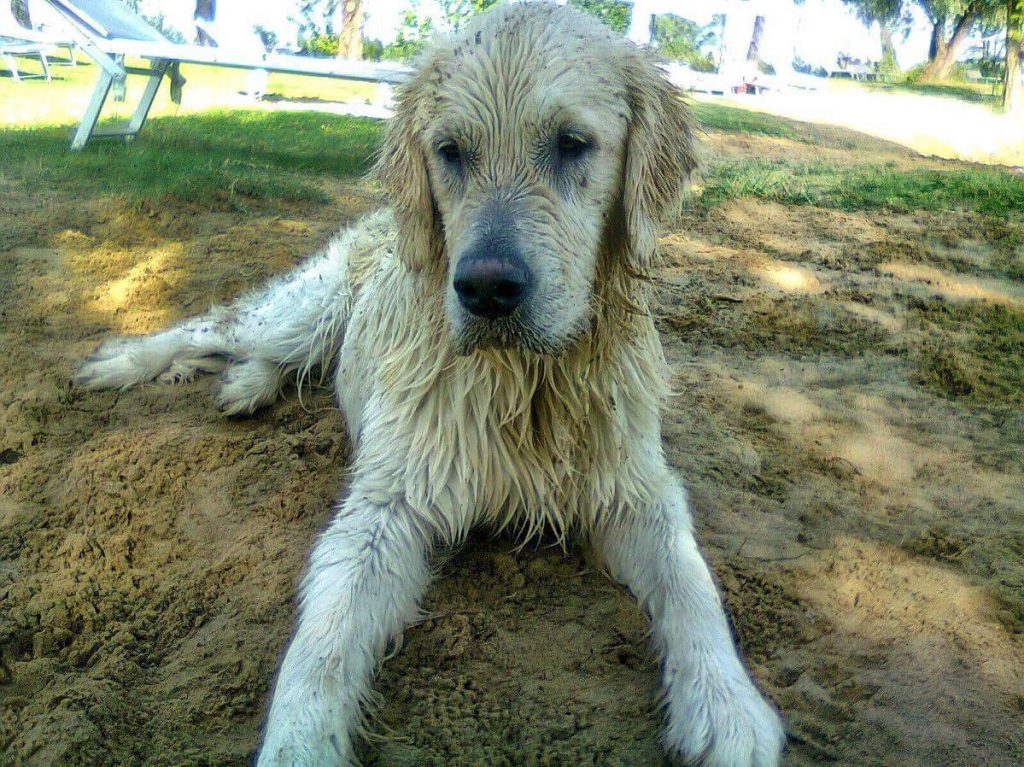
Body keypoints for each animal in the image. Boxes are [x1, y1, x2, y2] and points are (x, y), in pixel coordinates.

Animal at [75, 2, 786, 761]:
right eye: (450, 152)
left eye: (572, 144)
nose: (487, 289)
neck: (526, 383)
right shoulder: (388, 506)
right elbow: (321, 644)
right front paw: (297, 740)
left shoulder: (637, 488)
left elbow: (692, 582)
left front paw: (727, 703)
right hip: (300, 312)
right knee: (215, 323)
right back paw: (125, 363)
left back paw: (246, 387)